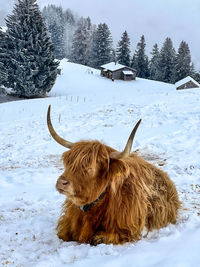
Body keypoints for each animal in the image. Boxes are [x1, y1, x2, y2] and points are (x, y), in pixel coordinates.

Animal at [46, 105, 180, 245]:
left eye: (90, 168)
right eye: (68, 162)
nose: (61, 183)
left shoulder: (127, 230)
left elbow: (98, 238)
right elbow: (62, 234)